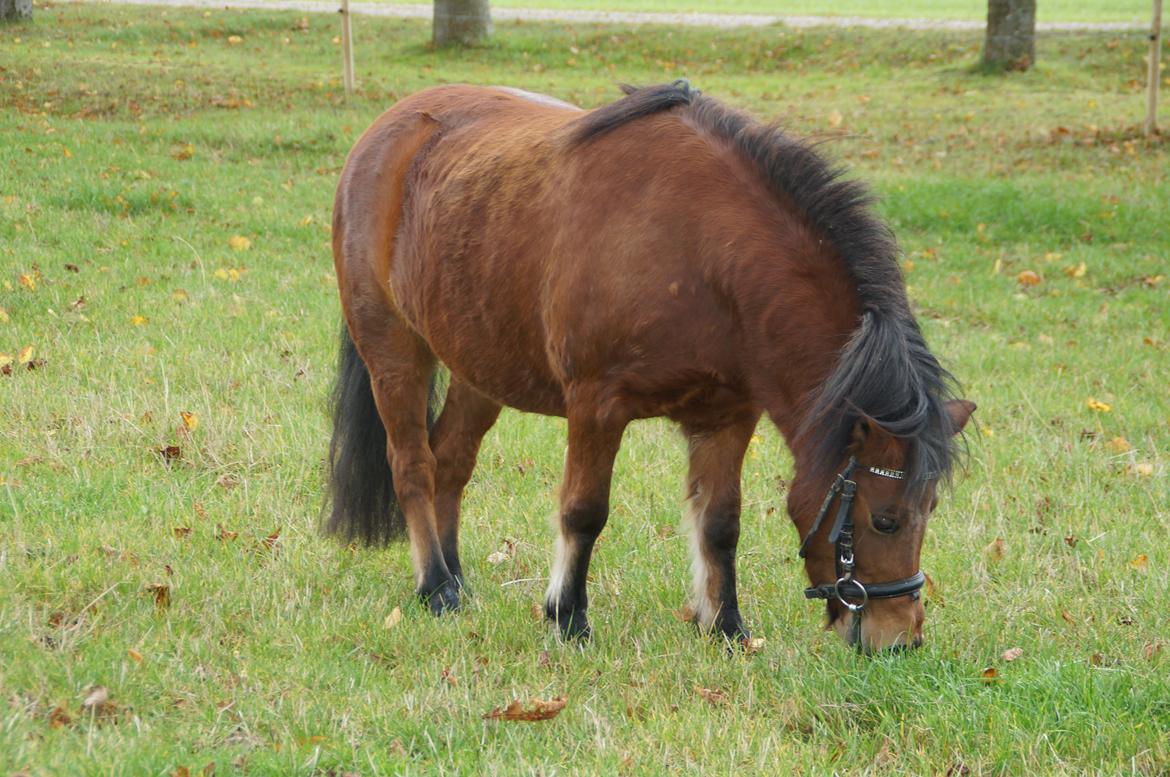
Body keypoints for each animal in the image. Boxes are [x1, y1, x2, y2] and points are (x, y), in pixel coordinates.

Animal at [325, 80, 973, 650]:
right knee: (413, 464)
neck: (702, 256)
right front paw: (567, 617)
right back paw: (436, 586)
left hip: (478, 365)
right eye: (884, 520)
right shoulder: (596, 407)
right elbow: (584, 513)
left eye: (931, 508)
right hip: (393, 349)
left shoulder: (727, 416)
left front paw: (725, 626)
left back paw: (456, 578)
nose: (900, 638)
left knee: (451, 462)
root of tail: (384, 131)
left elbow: (720, 524)